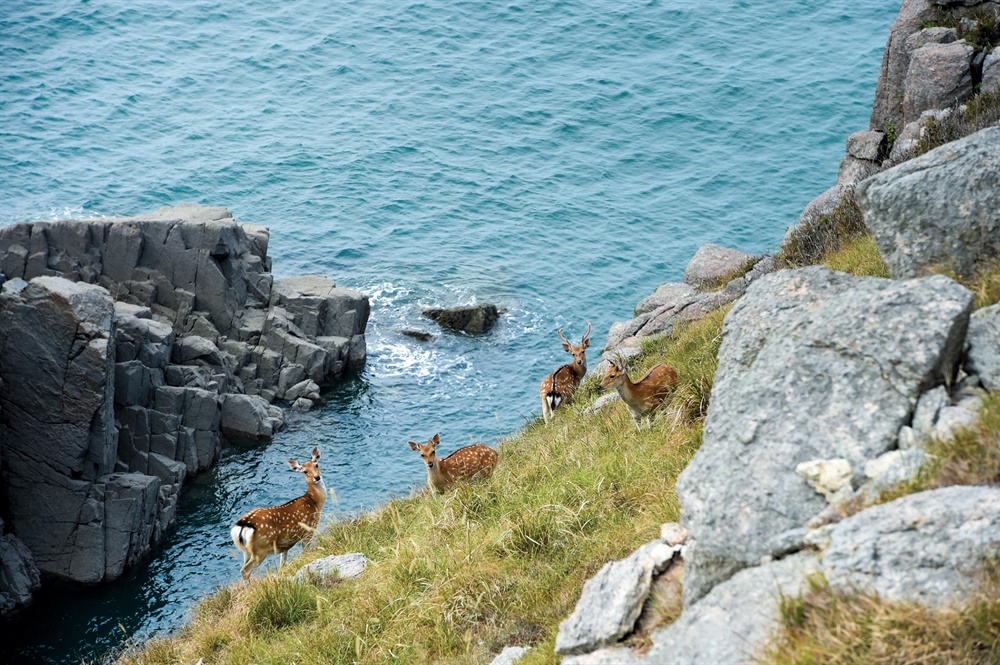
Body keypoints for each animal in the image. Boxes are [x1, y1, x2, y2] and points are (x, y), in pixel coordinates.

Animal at [229, 446, 326, 580]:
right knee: (245, 570)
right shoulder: (309, 530)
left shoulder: (285, 545)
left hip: (246, 551)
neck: (314, 502)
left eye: (316, 465)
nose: (317, 477)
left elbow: (282, 564)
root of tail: (242, 526)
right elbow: (306, 552)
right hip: (261, 548)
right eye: (305, 471)